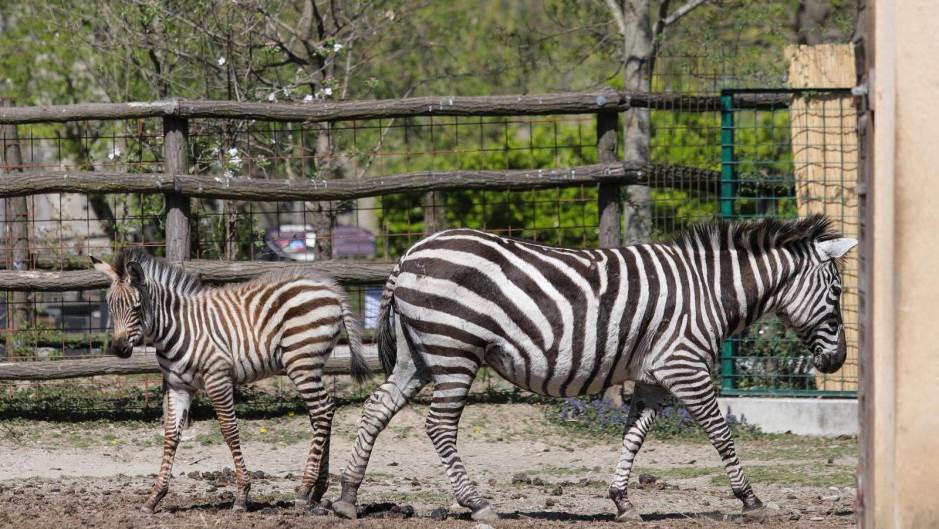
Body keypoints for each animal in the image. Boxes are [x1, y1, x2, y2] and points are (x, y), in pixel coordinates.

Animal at [91, 249, 369, 513]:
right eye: (110, 307)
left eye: (137, 307)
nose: (119, 349)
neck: (177, 328)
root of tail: (329, 287)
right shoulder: (178, 386)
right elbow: (170, 434)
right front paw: (154, 498)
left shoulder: (218, 379)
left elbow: (229, 430)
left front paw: (241, 496)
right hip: (311, 363)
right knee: (323, 412)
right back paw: (316, 491)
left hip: (301, 361)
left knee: (322, 411)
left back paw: (303, 491)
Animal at [331, 215, 856, 521]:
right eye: (837, 292)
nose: (838, 361)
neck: (710, 291)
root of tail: (409, 254)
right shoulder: (684, 364)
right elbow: (721, 433)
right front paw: (750, 500)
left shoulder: (652, 376)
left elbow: (634, 435)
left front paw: (622, 501)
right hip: (454, 350)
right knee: (440, 426)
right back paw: (477, 504)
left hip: (420, 355)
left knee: (376, 409)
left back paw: (347, 498)